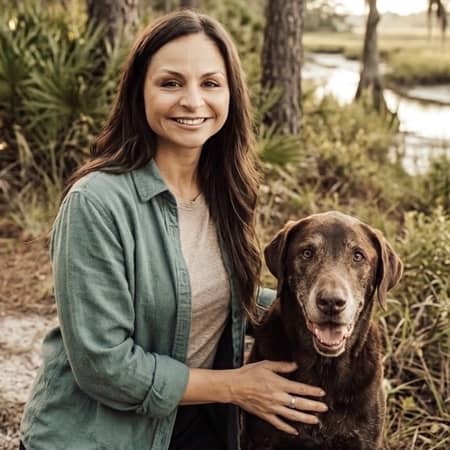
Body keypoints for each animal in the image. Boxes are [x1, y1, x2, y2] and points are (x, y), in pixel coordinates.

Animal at [242, 211, 403, 450]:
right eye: (307, 253)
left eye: (358, 256)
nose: (331, 302)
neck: (324, 367)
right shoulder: (263, 438)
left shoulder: (364, 439)